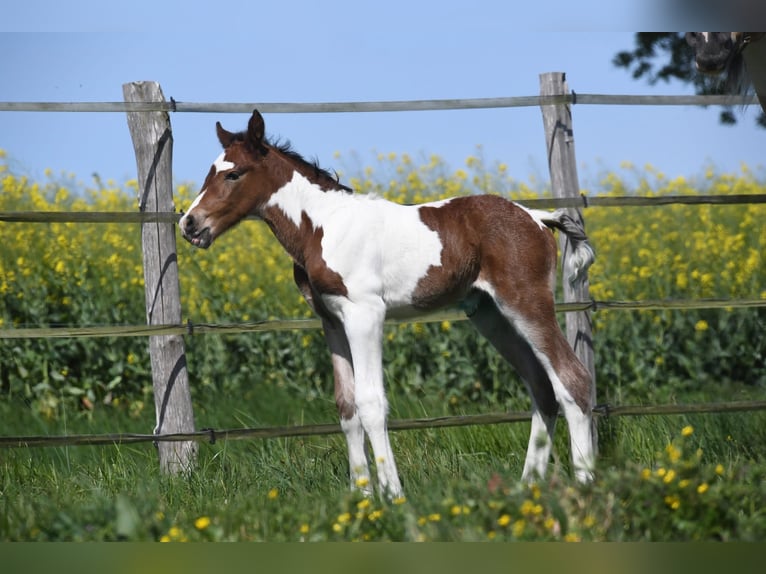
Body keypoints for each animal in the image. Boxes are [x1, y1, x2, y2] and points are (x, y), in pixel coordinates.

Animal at [179, 110, 596, 497]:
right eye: (210, 172)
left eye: (234, 174)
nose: (190, 223)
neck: (323, 227)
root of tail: (537, 216)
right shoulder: (331, 320)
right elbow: (347, 406)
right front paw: (362, 495)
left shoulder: (365, 314)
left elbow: (370, 403)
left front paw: (392, 494)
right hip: (491, 315)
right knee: (541, 387)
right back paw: (528, 486)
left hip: (525, 302)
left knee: (572, 379)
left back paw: (585, 483)